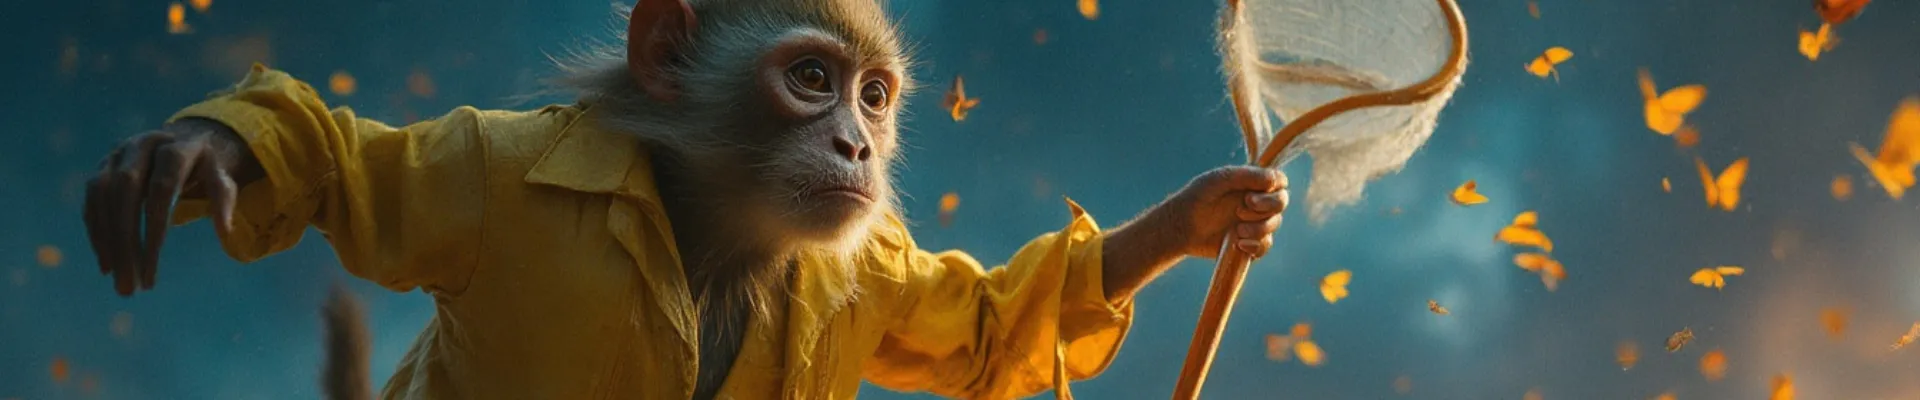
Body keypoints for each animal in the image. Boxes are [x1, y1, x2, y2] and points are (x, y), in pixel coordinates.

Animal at [82, 0, 1290, 398]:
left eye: (874, 93)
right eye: (811, 78)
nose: (857, 142)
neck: (708, 237)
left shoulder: (867, 265)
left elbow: (990, 326)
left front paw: (1212, 211)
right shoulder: (496, 180)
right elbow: (352, 165)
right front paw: (201, 148)